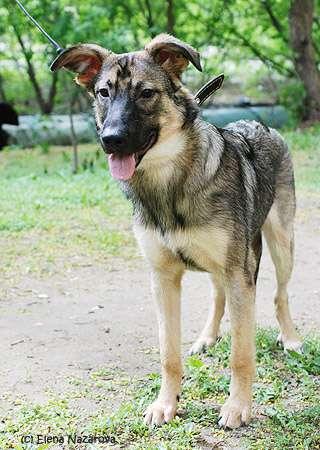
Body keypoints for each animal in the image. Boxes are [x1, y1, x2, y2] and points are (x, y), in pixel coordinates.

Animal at [52, 34, 302, 428]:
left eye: (146, 93)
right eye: (104, 92)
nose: (111, 139)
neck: (169, 182)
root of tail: (260, 122)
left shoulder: (239, 272)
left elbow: (241, 354)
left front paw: (237, 407)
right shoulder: (163, 277)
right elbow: (168, 353)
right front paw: (166, 404)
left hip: (280, 243)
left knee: (280, 295)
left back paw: (289, 338)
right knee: (218, 296)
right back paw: (207, 337)